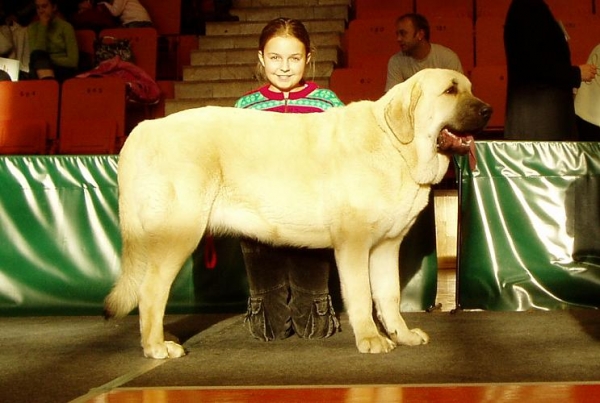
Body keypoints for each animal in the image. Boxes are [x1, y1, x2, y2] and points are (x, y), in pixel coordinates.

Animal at [105, 68, 492, 360]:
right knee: (151, 292)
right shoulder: (353, 245)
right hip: (178, 236)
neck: (396, 144)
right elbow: (362, 295)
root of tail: (143, 128)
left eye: (471, 88)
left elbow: (389, 295)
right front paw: (370, 338)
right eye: (450, 91)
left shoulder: (386, 247)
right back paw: (157, 346)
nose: (488, 110)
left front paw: (402, 334)